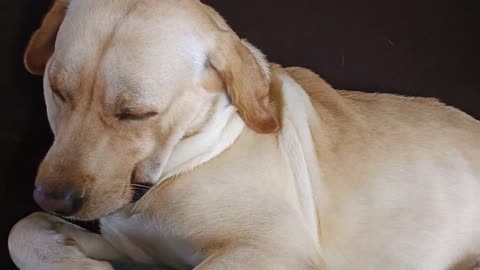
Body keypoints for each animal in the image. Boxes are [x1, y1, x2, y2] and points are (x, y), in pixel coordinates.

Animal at [7, 0, 480, 268]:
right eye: (57, 91)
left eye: (137, 113)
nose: (53, 199)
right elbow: (21, 229)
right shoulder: (136, 248)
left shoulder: (272, 248)